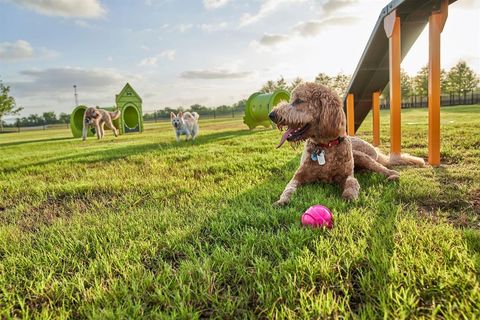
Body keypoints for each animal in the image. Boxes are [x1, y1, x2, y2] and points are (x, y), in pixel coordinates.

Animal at [270, 82, 424, 206]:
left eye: (299, 100)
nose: (271, 115)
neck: (325, 147)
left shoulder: (346, 175)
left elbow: (352, 182)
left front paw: (349, 196)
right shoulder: (298, 176)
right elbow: (288, 188)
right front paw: (282, 200)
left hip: (364, 158)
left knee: (385, 169)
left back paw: (392, 176)